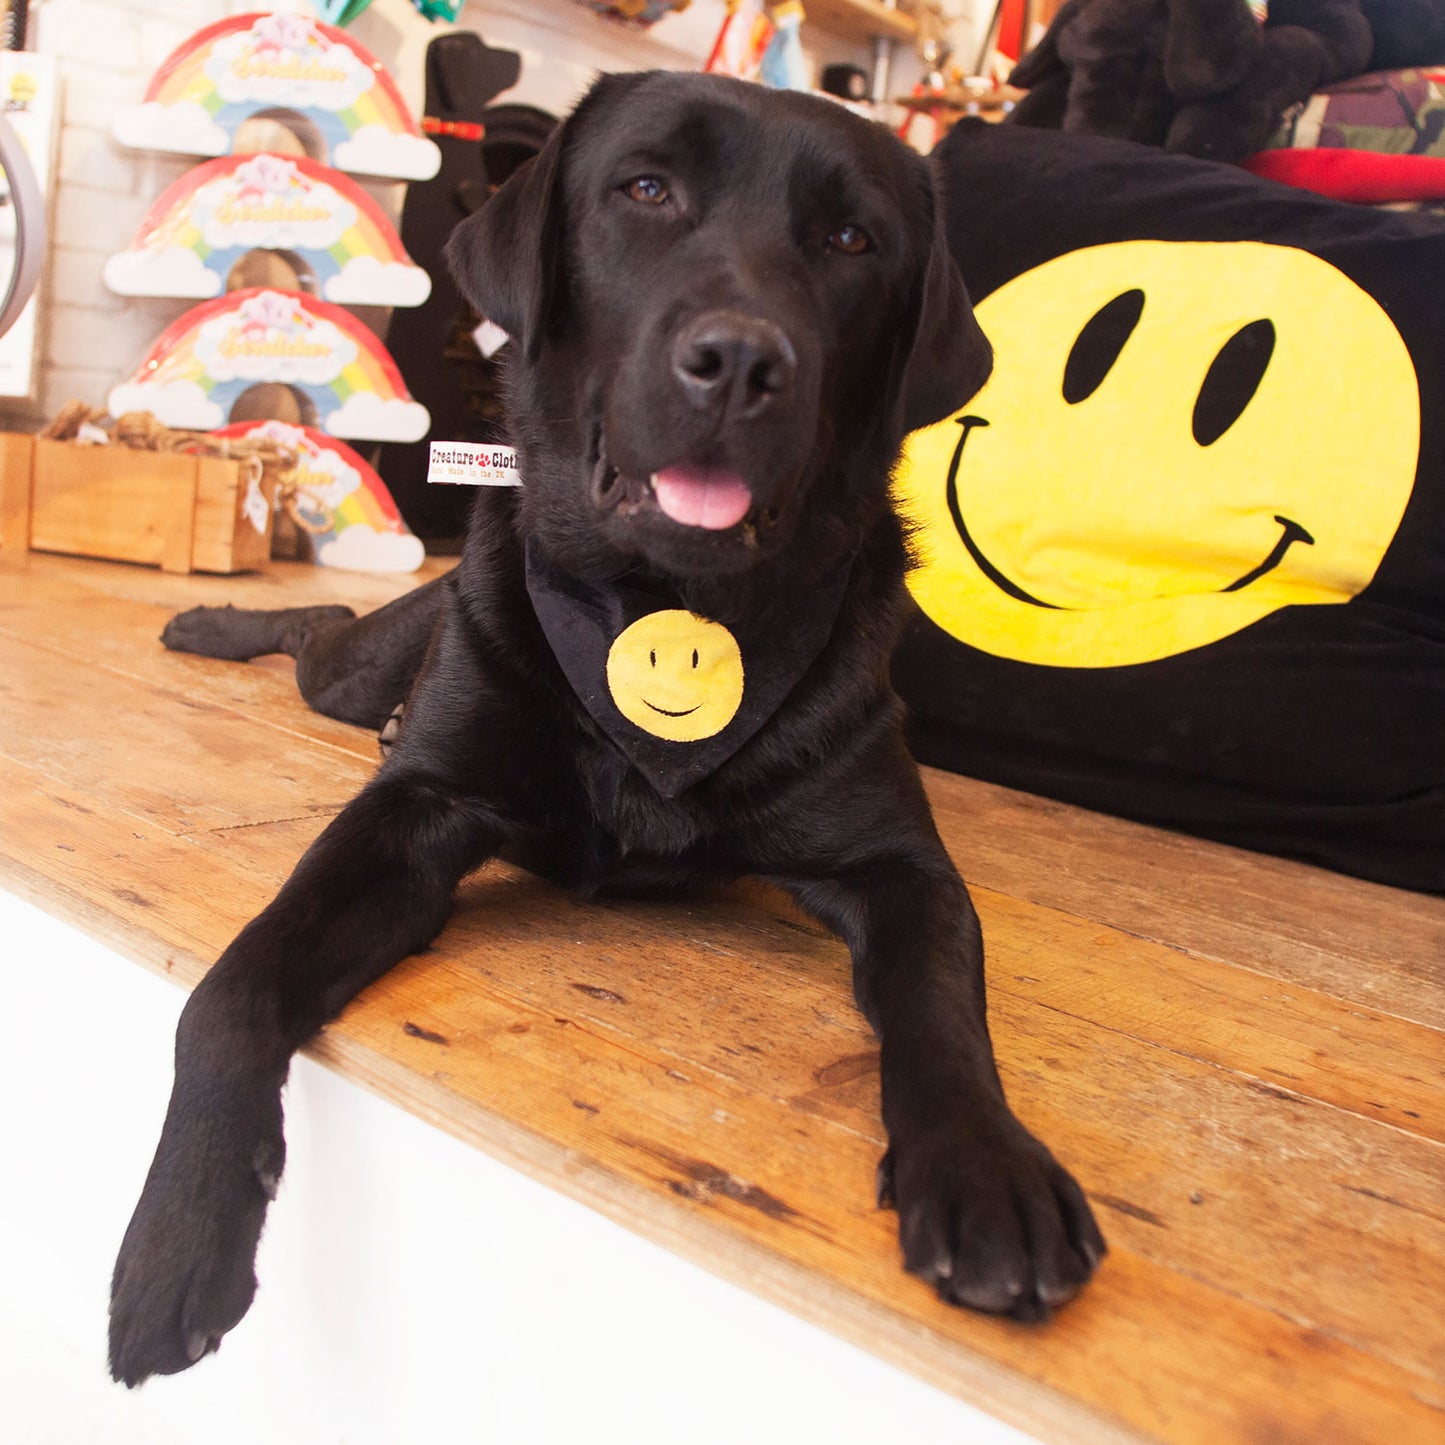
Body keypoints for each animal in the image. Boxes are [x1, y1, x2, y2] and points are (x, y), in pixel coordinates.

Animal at [109, 70, 1103, 1387]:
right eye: (644, 189)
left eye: (852, 240)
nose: (738, 362)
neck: (662, 603)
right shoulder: (414, 807)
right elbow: (231, 982)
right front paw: (174, 1243)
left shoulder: (901, 864)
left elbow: (944, 1004)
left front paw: (985, 1167)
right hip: (362, 667)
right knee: (317, 626)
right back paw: (212, 617)